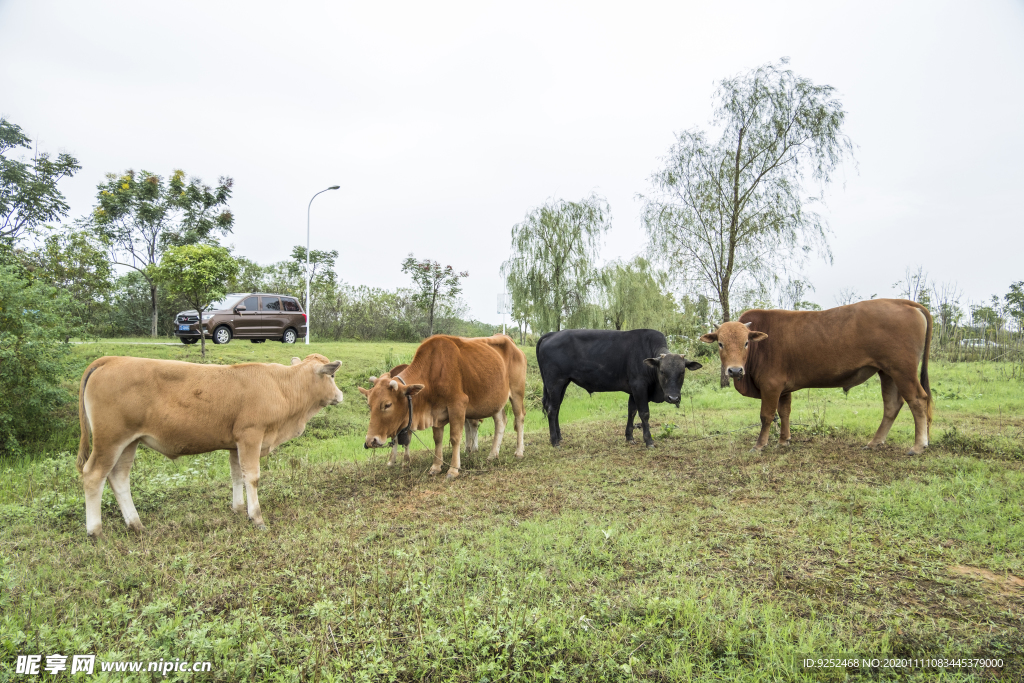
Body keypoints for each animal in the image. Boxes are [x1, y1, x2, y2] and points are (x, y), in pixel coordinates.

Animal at [75, 352, 346, 540]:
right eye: (332, 376)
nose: (340, 395)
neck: (282, 386)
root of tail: (112, 360)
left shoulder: (235, 444)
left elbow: (237, 475)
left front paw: (239, 509)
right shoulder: (251, 435)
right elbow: (252, 477)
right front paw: (256, 517)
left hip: (129, 442)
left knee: (119, 478)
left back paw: (135, 524)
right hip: (110, 440)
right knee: (94, 476)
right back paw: (96, 531)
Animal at [358, 333, 528, 479]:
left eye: (387, 405)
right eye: (369, 405)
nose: (370, 441)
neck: (432, 371)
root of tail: (511, 342)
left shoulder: (458, 405)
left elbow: (455, 438)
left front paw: (453, 469)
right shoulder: (435, 412)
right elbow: (437, 439)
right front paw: (436, 466)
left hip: (517, 392)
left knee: (519, 418)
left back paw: (519, 451)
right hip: (496, 401)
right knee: (500, 422)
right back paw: (493, 454)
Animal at [536, 329, 704, 448]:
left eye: (682, 372)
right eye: (662, 371)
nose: (673, 398)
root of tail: (553, 333)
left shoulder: (633, 390)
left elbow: (632, 411)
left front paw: (629, 437)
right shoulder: (639, 386)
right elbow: (644, 413)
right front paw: (649, 441)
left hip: (563, 383)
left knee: (556, 408)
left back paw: (559, 437)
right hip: (555, 382)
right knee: (552, 409)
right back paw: (554, 441)